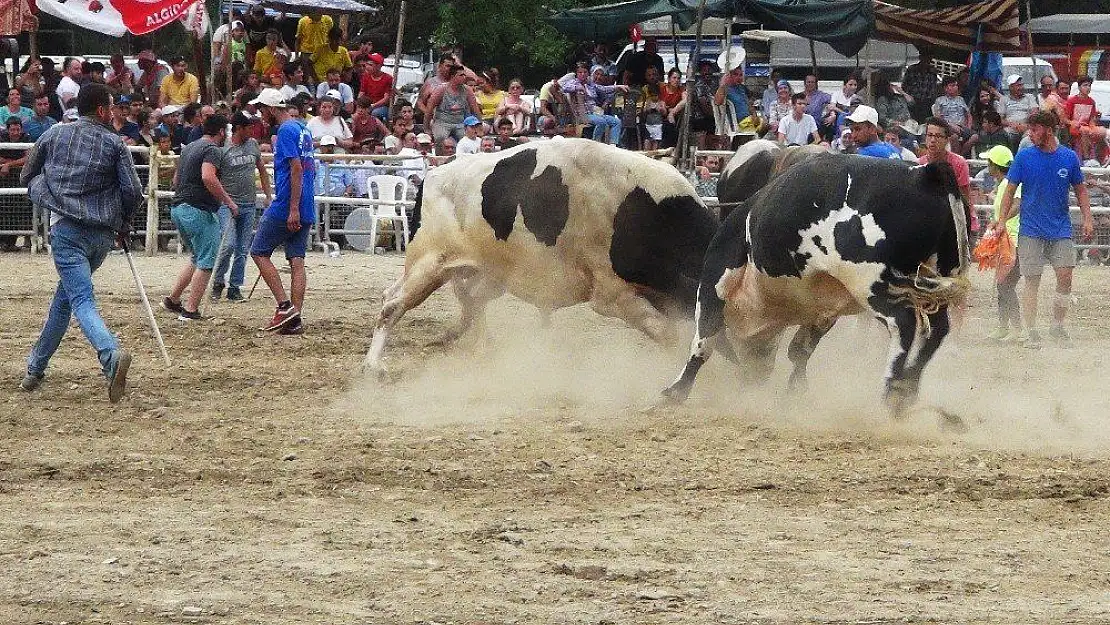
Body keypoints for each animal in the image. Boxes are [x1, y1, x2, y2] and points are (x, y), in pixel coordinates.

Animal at [364, 139, 719, 368]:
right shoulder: (612, 296)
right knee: (392, 305)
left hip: (483, 273)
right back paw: (373, 366)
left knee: (464, 300)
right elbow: (667, 334)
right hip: (429, 263)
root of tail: (432, 177)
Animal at [661, 153, 967, 415]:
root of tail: (923, 174)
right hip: (934, 277)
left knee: (903, 323)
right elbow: (800, 350)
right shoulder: (825, 309)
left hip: (870, 283)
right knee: (938, 328)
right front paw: (795, 391)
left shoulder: (716, 281)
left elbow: (704, 339)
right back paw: (907, 389)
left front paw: (676, 391)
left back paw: (892, 389)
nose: (754, 376)